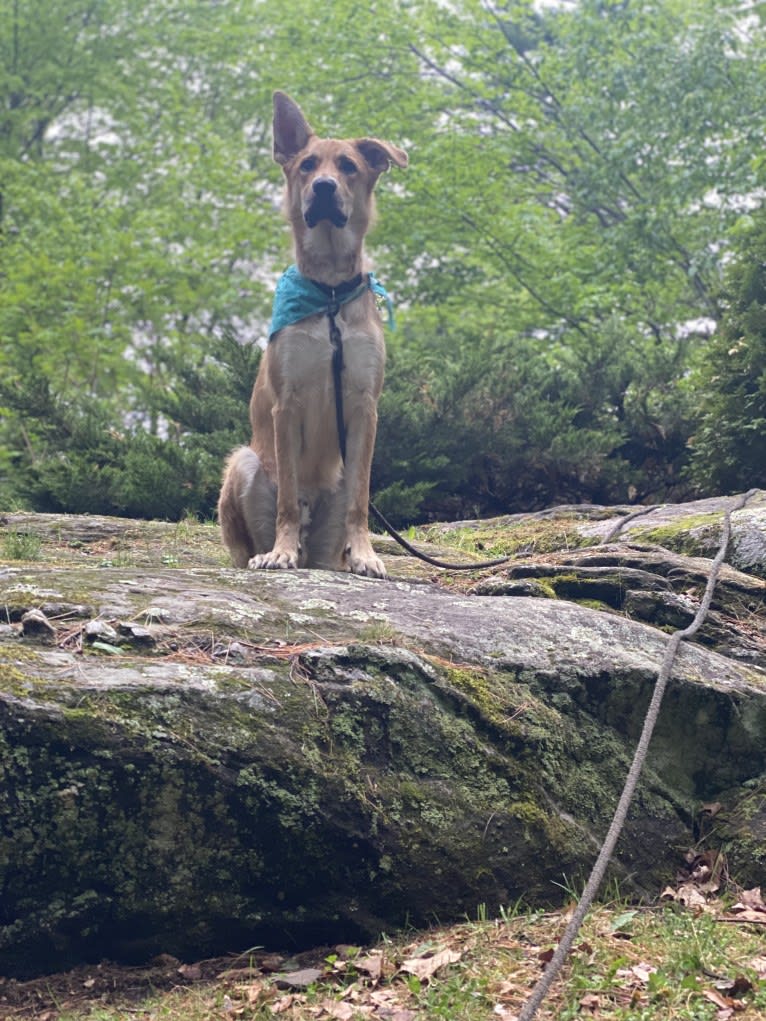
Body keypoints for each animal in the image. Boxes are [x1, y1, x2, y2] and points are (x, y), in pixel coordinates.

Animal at [216, 89, 408, 575]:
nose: (323, 187)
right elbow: (286, 494)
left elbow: (361, 499)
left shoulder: (364, 406)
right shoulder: (287, 403)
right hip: (244, 462)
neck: (330, 294)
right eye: (307, 165)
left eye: (348, 166)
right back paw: (272, 551)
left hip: (327, 536)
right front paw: (281, 551)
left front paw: (366, 553)